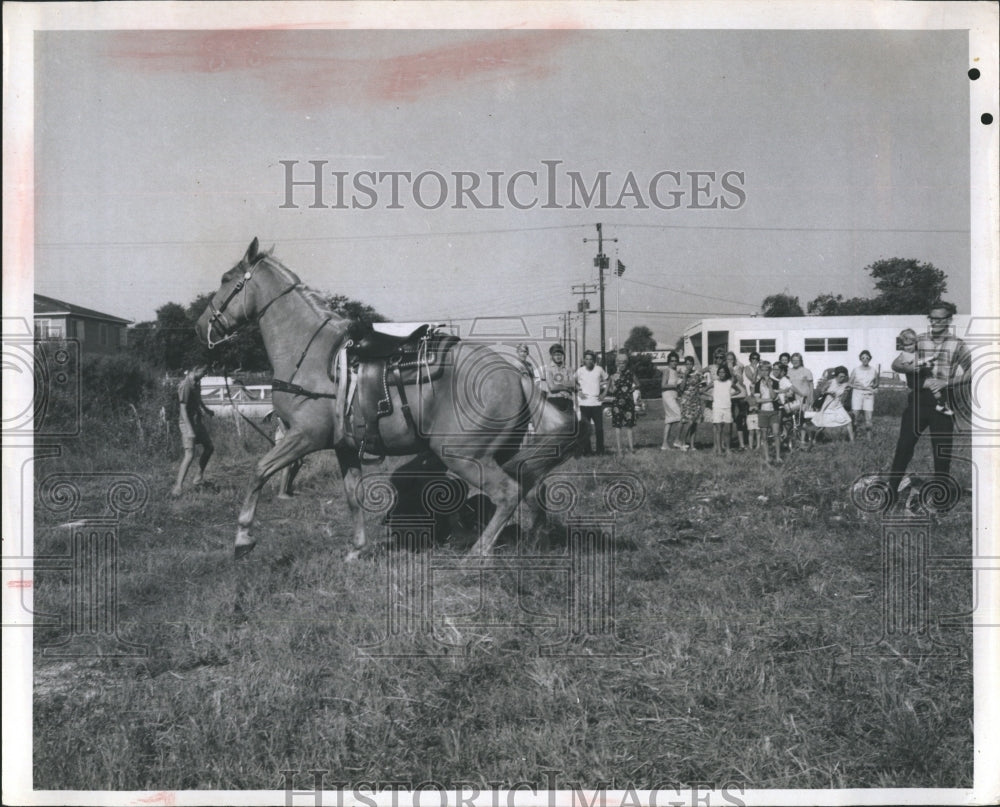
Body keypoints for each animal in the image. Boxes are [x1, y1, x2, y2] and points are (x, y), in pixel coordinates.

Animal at [193, 237, 580, 560]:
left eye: (226, 278)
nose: (199, 326)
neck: (310, 353)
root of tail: (517, 373)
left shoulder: (304, 436)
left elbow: (260, 470)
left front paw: (243, 537)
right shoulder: (345, 447)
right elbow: (353, 496)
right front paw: (356, 550)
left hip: (466, 457)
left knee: (508, 493)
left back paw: (477, 555)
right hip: (504, 453)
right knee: (529, 490)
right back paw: (535, 541)